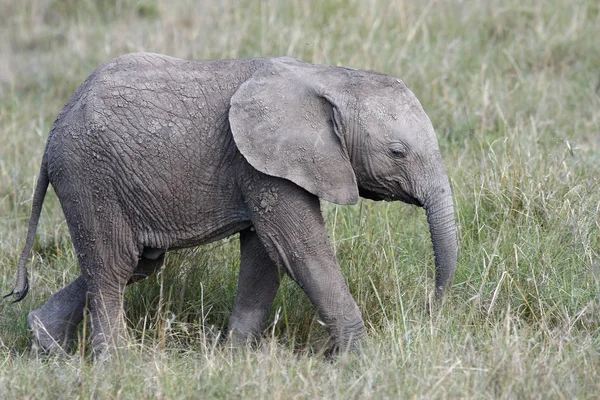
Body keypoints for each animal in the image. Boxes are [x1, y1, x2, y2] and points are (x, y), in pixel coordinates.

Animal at [4, 52, 458, 356]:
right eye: (398, 152)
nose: (431, 309)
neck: (328, 76)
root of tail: (55, 128)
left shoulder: (263, 165)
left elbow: (265, 257)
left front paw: (235, 359)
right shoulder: (260, 163)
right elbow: (301, 252)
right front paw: (360, 360)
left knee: (138, 262)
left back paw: (46, 343)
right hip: (89, 175)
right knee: (111, 267)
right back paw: (119, 363)